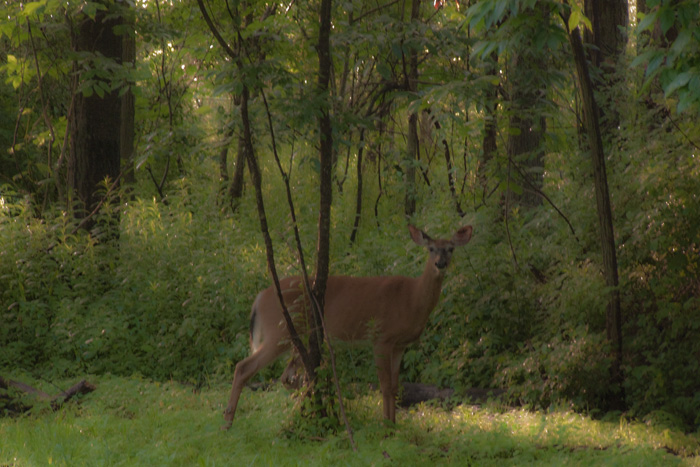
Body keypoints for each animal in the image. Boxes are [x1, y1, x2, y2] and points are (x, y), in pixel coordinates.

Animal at [223, 225, 476, 430]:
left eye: (450, 248)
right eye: (431, 248)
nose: (440, 263)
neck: (412, 300)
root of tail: (259, 298)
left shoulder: (399, 345)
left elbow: (395, 387)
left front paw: (394, 424)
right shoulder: (381, 337)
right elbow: (385, 386)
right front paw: (385, 426)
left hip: (296, 337)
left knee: (287, 377)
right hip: (279, 331)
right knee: (244, 367)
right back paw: (228, 422)